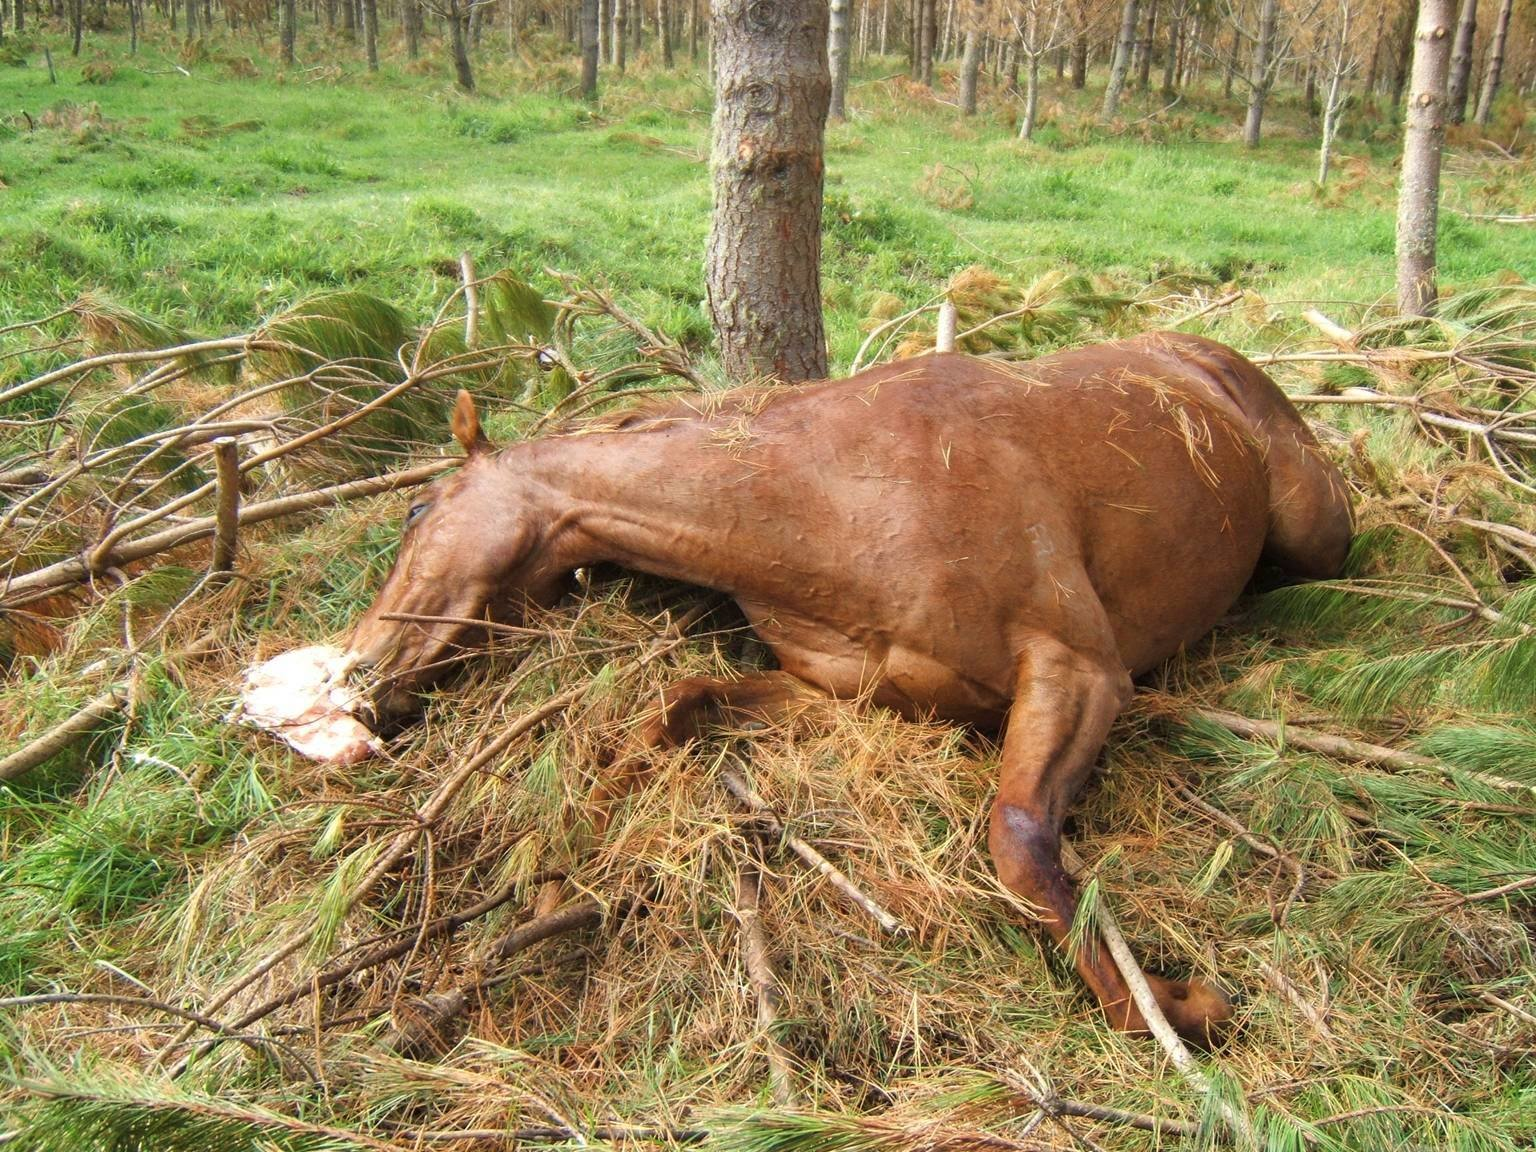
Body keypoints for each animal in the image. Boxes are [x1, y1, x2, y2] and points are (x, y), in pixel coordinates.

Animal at [345, 331, 1345, 1044]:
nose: (358, 681)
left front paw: (1176, 1005)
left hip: (1317, 538)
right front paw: (559, 885)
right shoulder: (849, 696)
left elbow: (1019, 843)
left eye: (417, 509)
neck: (832, 497)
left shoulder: (1081, 672)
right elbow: (669, 712)